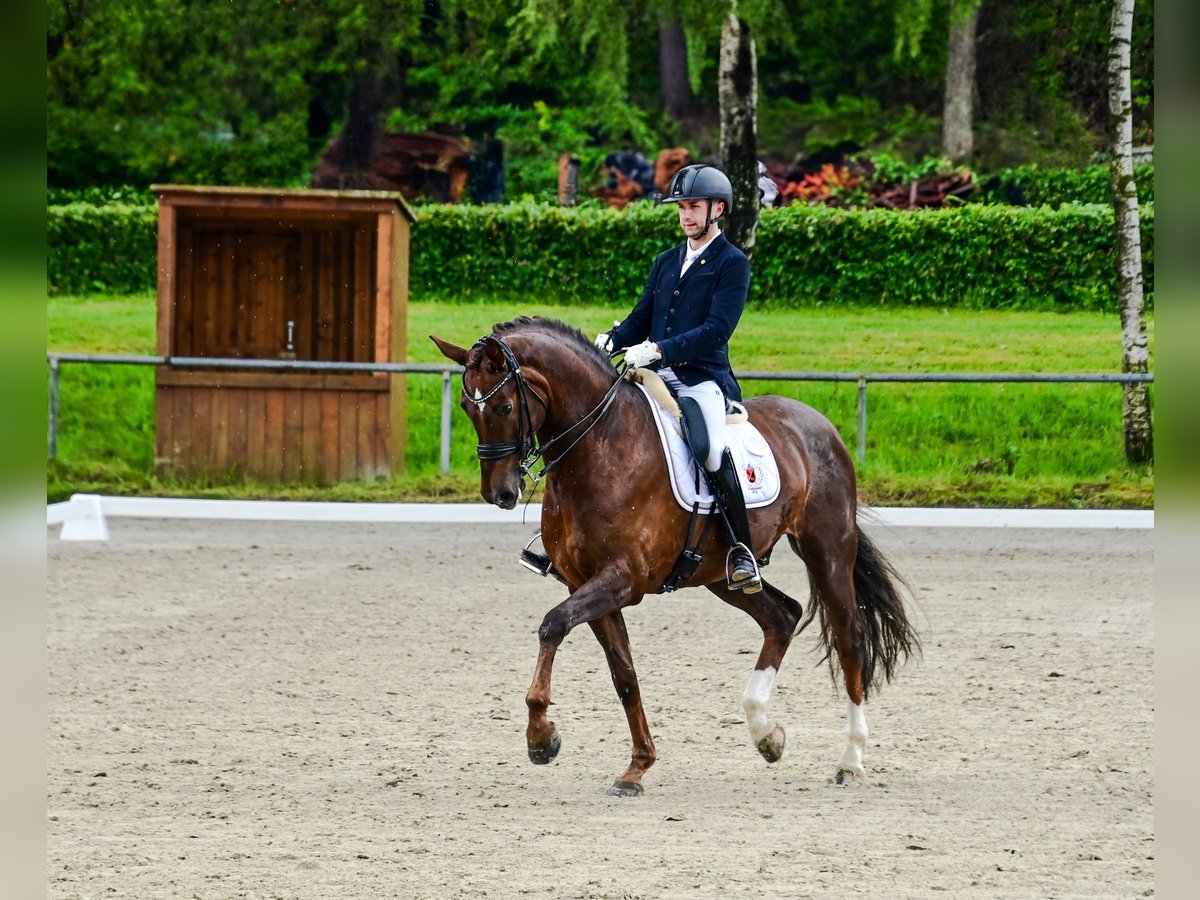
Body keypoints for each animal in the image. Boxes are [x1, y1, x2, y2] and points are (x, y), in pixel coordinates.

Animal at [432, 314, 916, 796]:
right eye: (467, 410)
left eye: (504, 408)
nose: (500, 493)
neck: (599, 445)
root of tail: (819, 424)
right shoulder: (584, 582)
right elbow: (624, 675)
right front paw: (637, 767)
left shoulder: (622, 579)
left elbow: (552, 625)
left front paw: (541, 738)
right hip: (721, 575)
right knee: (783, 615)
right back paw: (767, 735)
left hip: (827, 549)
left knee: (850, 639)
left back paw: (851, 760)